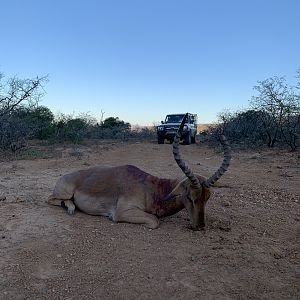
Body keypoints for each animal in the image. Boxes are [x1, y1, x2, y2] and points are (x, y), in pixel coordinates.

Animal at [48, 114, 231, 230]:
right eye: (190, 196)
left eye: (207, 197)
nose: (199, 227)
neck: (151, 188)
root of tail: (65, 176)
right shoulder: (123, 212)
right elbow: (155, 221)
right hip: (64, 193)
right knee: (51, 199)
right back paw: (70, 208)